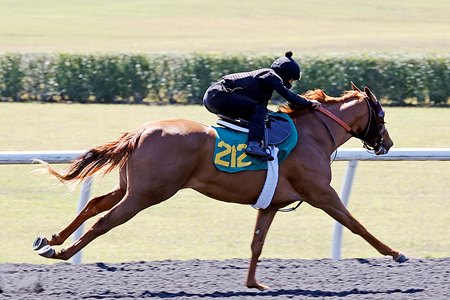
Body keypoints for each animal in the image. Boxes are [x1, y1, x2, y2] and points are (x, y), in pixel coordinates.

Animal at [33, 83, 408, 290]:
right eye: (382, 116)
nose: (387, 144)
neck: (315, 134)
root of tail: (138, 132)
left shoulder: (272, 203)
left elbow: (257, 243)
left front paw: (253, 283)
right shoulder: (321, 193)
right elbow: (356, 224)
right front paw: (395, 253)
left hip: (132, 188)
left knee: (94, 204)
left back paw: (50, 241)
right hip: (147, 194)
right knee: (103, 221)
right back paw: (62, 253)